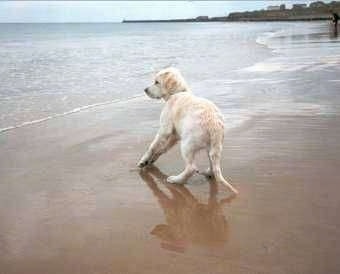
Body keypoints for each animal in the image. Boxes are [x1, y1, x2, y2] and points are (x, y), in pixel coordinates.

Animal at [137, 67, 238, 195]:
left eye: (157, 82)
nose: (145, 90)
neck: (177, 93)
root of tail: (214, 125)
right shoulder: (175, 136)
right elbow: (162, 149)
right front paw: (151, 160)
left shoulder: (165, 129)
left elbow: (152, 146)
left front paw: (143, 161)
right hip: (213, 147)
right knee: (212, 163)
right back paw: (208, 173)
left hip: (187, 144)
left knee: (191, 168)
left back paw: (175, 180)